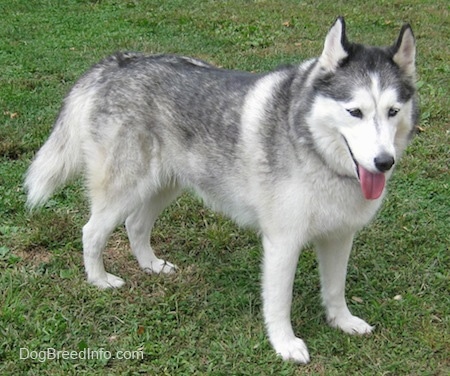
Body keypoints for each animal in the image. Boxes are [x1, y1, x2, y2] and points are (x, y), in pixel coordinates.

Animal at [24, 18, 418, 364]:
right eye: (355, 111)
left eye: (392, 111)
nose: (384, 162)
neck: (315, 150)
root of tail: (118, 61)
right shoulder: (283, 242)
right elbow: (279, 302)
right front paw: (284, 344)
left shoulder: (339, 236)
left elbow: (335, 289)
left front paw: (342, 321)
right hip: (125, 189)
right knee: (91, 231)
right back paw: (99, 280)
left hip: (163, 185)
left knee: (136, 224)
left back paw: (151, 265)